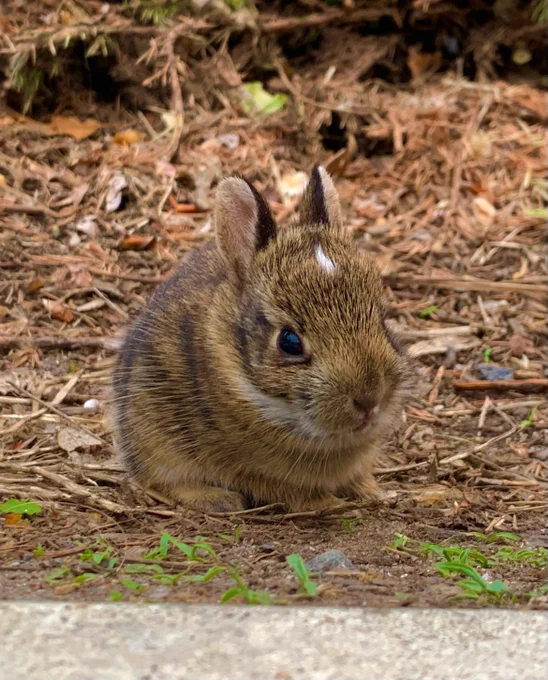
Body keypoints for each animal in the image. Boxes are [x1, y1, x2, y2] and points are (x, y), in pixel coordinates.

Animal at [112, 166, 408, 513]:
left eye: (382, 320)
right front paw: (329, 502)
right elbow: (287, 490)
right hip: (153, 433)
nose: (369, 400)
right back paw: (217, 499)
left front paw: (373, 492)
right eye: (289, 342)